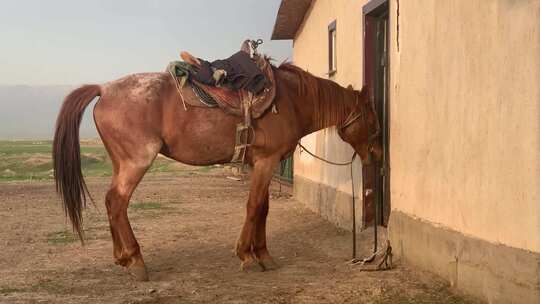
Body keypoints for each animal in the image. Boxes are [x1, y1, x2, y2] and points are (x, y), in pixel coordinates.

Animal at [50, 63, 380, 282]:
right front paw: (247, 256)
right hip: (136, 162)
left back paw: (121, 258)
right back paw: (136, 261)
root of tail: (103, 89)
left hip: (121, 163)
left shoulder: (261, 163)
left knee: (110, 201)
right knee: (118, 202)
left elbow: (263, 208)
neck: (290, 101)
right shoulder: (267, 161)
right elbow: (254, 206)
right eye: (373, 120)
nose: (376, 154)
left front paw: (263, 255)